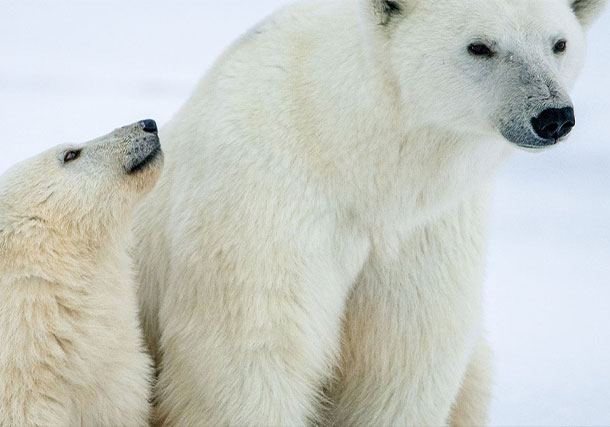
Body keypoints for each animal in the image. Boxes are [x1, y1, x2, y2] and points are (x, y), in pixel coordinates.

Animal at [132, 1, 604, 426]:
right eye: (479, 46)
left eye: (559, 43)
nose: (553, 116)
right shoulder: (265, 199)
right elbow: (253, 350)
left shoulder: (425, 228)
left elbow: (402, 355)